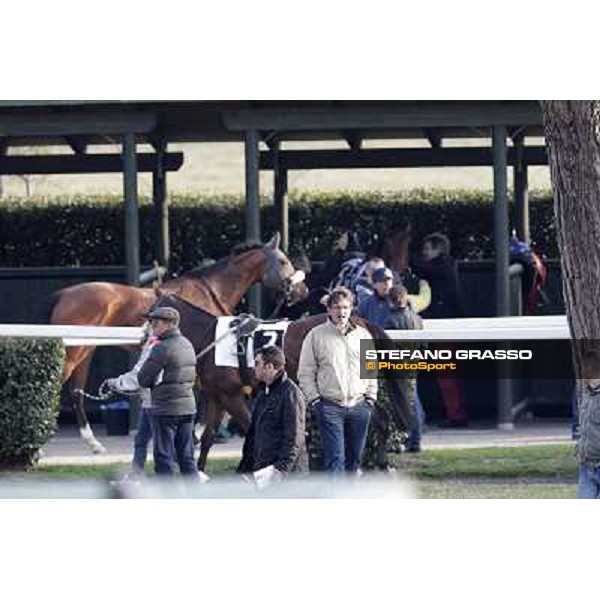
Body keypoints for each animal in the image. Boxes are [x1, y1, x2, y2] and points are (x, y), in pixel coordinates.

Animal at [44, 232, 302, 452]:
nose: (301, 291)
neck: (211, 291)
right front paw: (197, 432)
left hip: (85, 351)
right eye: (282, 261)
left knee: (75, 391)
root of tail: (62, 295)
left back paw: (92, 442)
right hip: (74, 352)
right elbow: (200, 395)